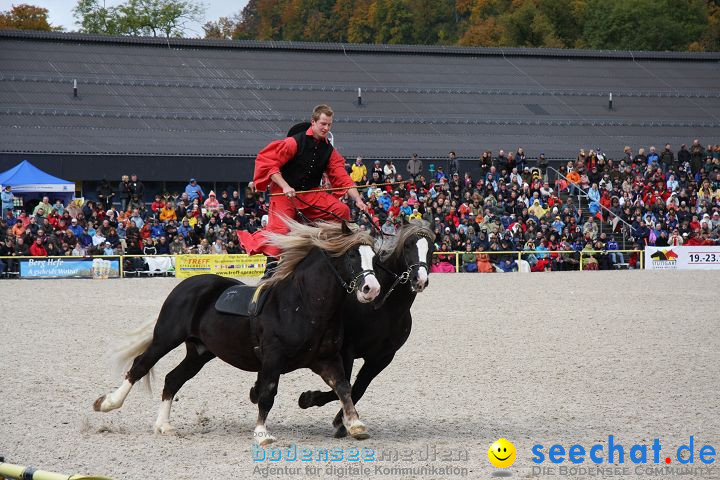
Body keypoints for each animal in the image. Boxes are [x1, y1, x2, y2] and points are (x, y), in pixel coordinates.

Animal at [95, 223, 382, 444]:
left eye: (375, 257)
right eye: (351, 256)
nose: (372, 289)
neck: (303, 305)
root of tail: (189, 284)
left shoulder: (326, 359)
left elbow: (344, 387)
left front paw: (355, 425)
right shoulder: (273, 359)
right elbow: (267, 394)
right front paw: (262, 433)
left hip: (200, 352)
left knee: (173, 379)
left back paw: (163, 425)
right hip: (166, 337)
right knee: (140, 365)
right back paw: (108, 403)